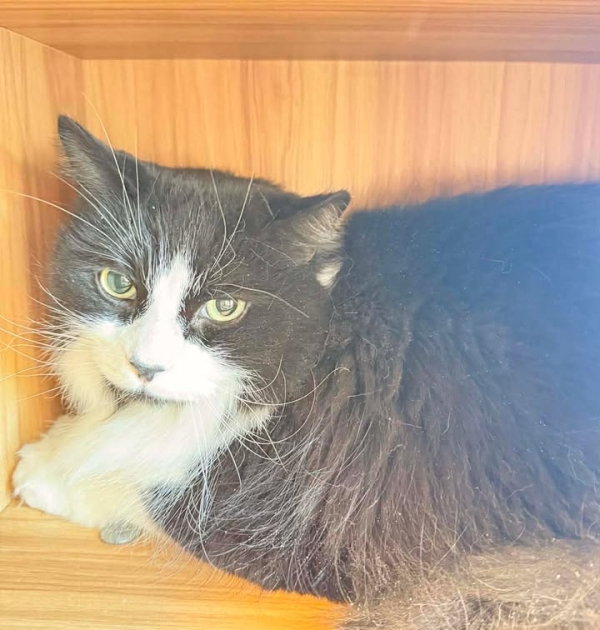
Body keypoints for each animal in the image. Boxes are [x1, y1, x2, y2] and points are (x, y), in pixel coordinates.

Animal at [12, 115, 600, 629]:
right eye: (117, 283)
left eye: (224, 307)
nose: (144, 366)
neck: (334, 327)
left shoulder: (347, 521)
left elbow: (154, 492)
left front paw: (43, 468)